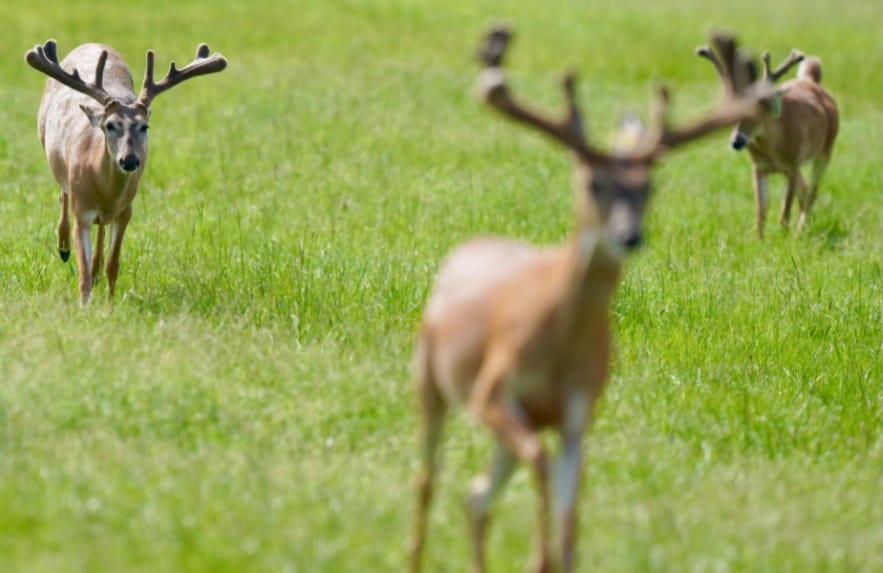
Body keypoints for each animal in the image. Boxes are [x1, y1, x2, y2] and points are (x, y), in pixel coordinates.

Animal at [25, 39, 227, 306]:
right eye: (110, 125)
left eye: (145, 126)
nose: (129, 160)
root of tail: (92, 43)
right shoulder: (81, 210)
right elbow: (82, 271)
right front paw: (84, 306)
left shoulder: (126, 210)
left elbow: (113, 265)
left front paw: (109, 305)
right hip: (46, 143)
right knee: (62, 193)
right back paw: (64, 247)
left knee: (101, 227)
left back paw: (96, 269)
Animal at [408, 27, 772, 573]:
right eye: (593, 181)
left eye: (649, 187)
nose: (628, 235)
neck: (559, 345)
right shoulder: (493, 388)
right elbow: (540, 467)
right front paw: (538, 555)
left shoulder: (581, 410)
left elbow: (571, 518)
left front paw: (550, 554)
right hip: (430, 376)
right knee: (427, 481)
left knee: (474, 496)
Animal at [696, 43, 838, 237]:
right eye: (728, 114)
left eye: (755, 111)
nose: (736, 141)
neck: (772, 149)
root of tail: (812, 81)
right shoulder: (759, 167)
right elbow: (760, 212)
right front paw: (759, 240)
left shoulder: (792, 164)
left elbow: (784, 211)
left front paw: (784, 238)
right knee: (805, 188)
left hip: (826, 150)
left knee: (812, 190)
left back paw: (799, 231)